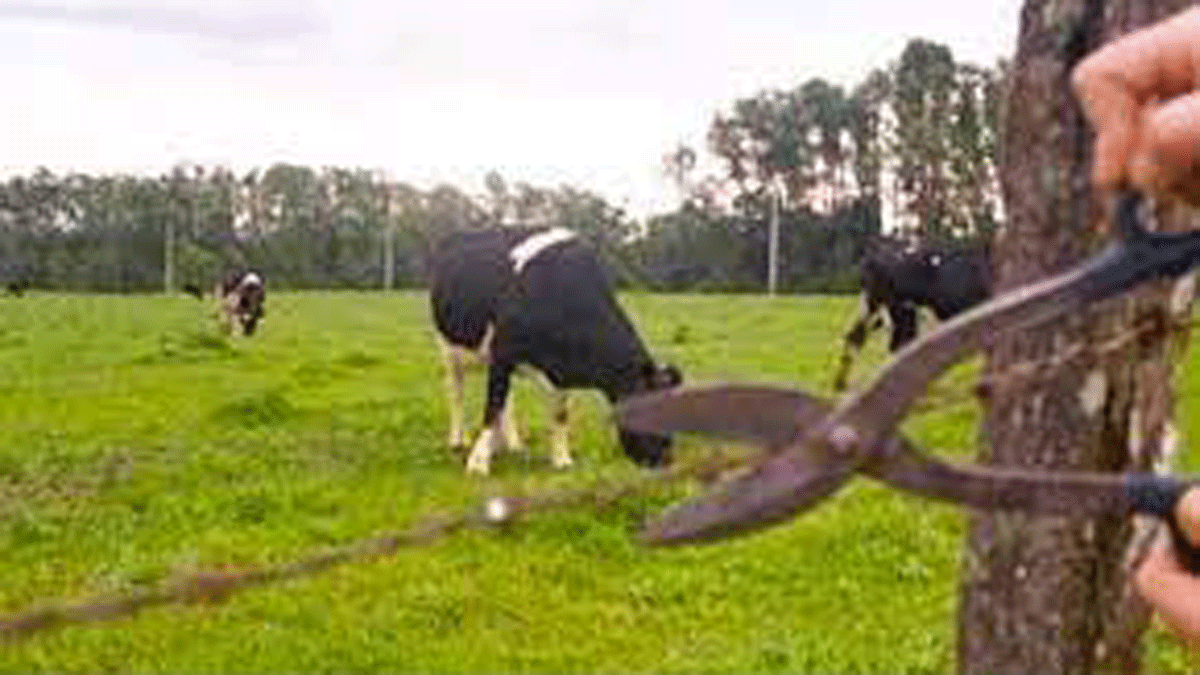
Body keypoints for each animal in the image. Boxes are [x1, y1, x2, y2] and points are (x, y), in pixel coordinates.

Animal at [430, 225, 682, 475]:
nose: (666, 461)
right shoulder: (503, 353)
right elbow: (492, 407)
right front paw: (478, 463)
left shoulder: (558, 370)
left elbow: (559, 413)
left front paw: (562, 459)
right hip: (449, 347)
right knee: (457, 391)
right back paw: (458, 440)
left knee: (506, 399)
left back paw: (512, 443)